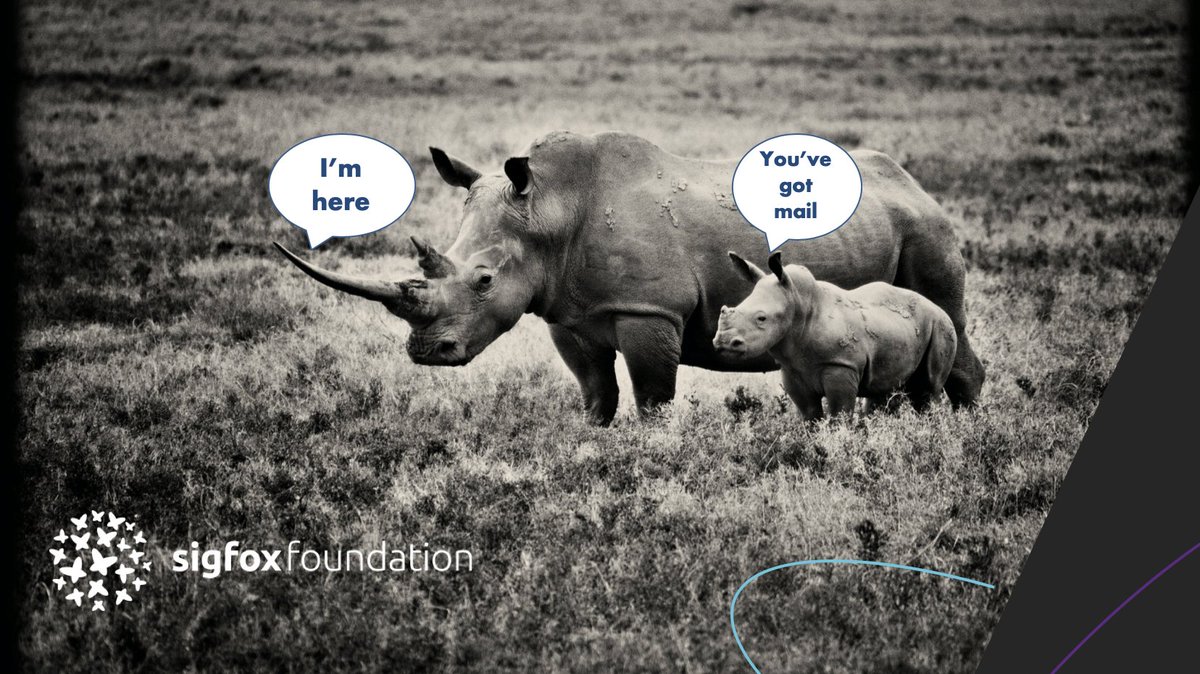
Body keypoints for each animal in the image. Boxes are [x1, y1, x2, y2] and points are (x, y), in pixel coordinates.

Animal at [275, 130, 984, 425]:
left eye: (483, 282)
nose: (427, 352)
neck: (550, 211)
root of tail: (913, 183)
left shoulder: (649, 310)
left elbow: (651, 394)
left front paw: (649, 452)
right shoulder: (568, 312)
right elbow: (595, 388)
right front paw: (592, 441)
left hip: (927, 232)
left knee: (948, 313)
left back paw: (963, 435)